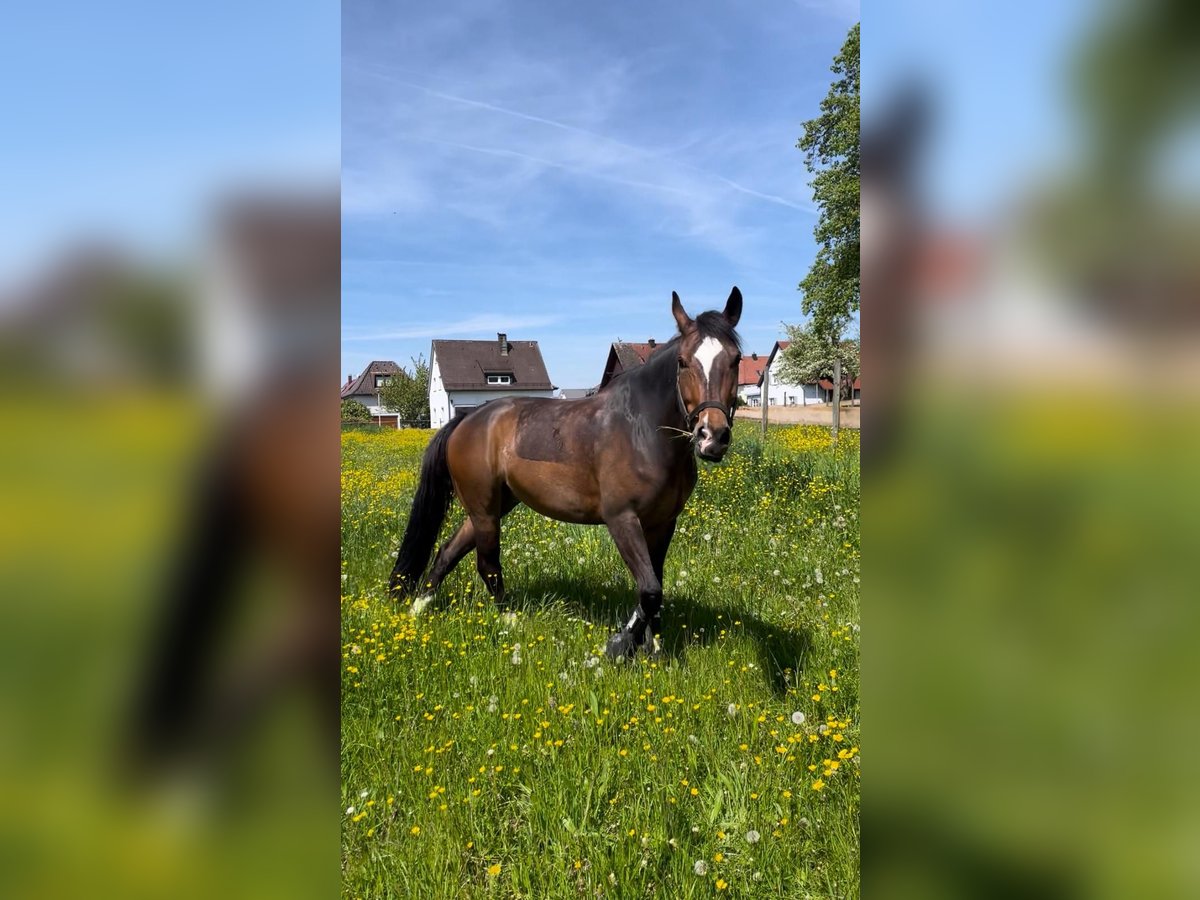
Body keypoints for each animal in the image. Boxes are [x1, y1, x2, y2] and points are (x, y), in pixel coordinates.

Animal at [389, 287, 743, 659]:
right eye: (683, 361)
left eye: (735, 359)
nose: (712, 437)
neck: (641, 431)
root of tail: (468, 419)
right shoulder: (622, 519)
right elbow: (649, 591)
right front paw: (619, 644)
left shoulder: (663, 523)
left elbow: (654, 586)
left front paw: (653, 646)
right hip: (484, 510)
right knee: (487, 565)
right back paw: (509, 621)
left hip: (493, 506)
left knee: (447, 551)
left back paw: (418, 609)